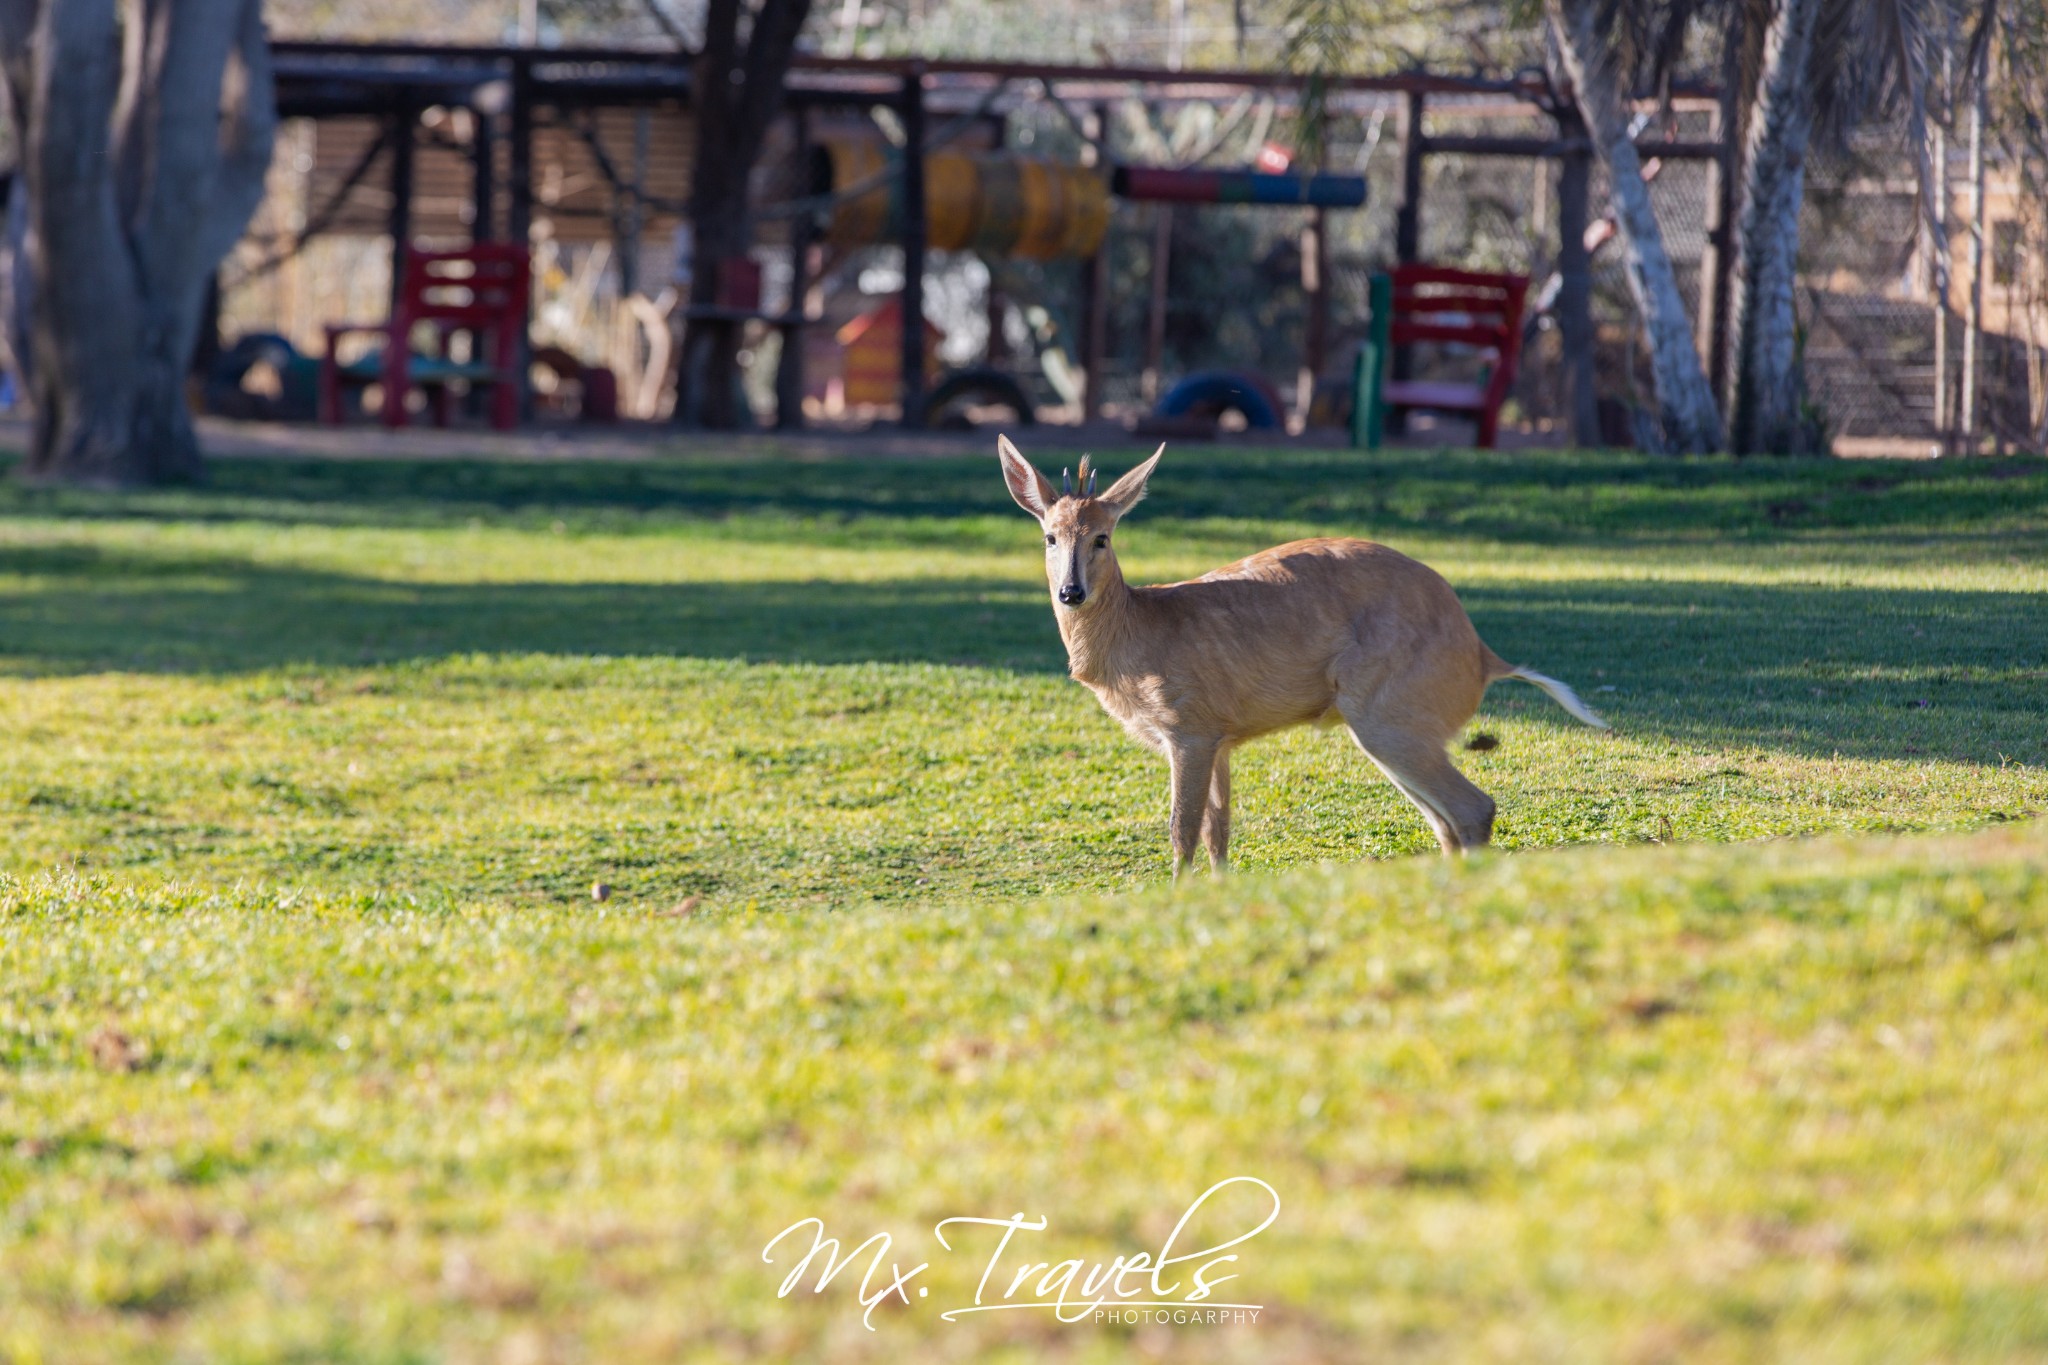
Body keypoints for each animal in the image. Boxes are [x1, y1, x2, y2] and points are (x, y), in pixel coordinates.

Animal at [999, 437, 1605, 875]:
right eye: (1051, 537)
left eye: (1102, 536)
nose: (1070, 592)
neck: (1140, 633)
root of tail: (1482, 655)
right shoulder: (1222, 737)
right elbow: (1219, 834)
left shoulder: (1188, 728)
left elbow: (1182, 832)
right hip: (1398, 727)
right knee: (1446, 822)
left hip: (1387, 714)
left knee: (1474, 809)